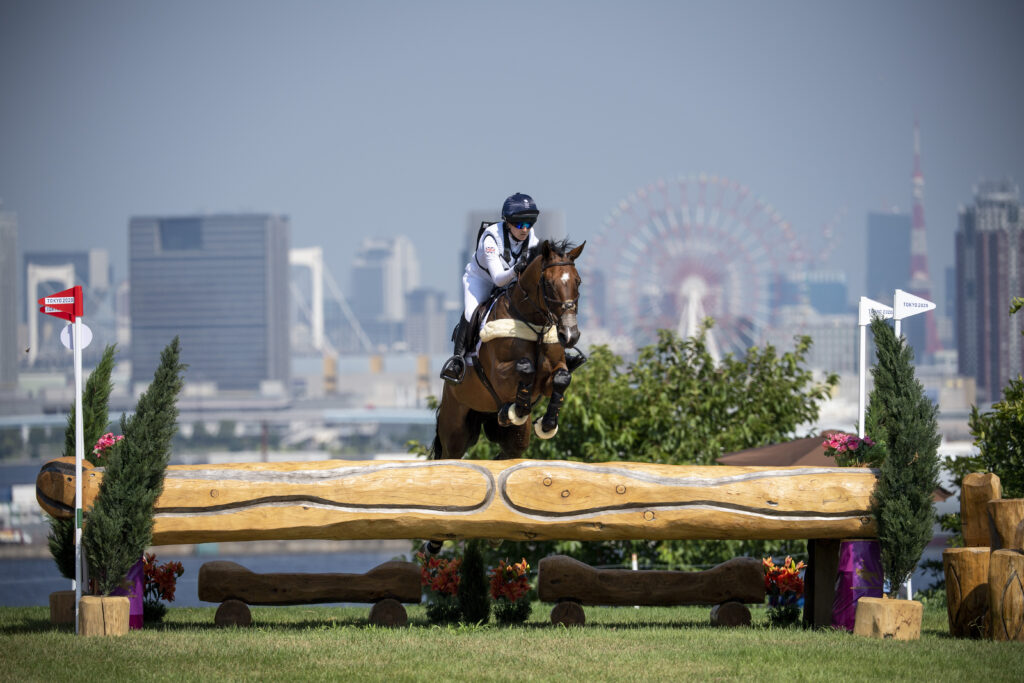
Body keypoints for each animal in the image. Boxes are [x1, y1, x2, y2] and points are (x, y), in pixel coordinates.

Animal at [428, 237, 585, 462]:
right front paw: (519, 409)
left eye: (578, 281)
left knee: (507, 454)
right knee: (451, 454)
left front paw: (547, 424)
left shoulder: (551, 374)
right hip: (455, 428)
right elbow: (525, 367)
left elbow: (562, 379)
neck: (535, 325)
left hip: (512, 437)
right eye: (548, 283)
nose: (570, 335)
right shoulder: (499, 375)